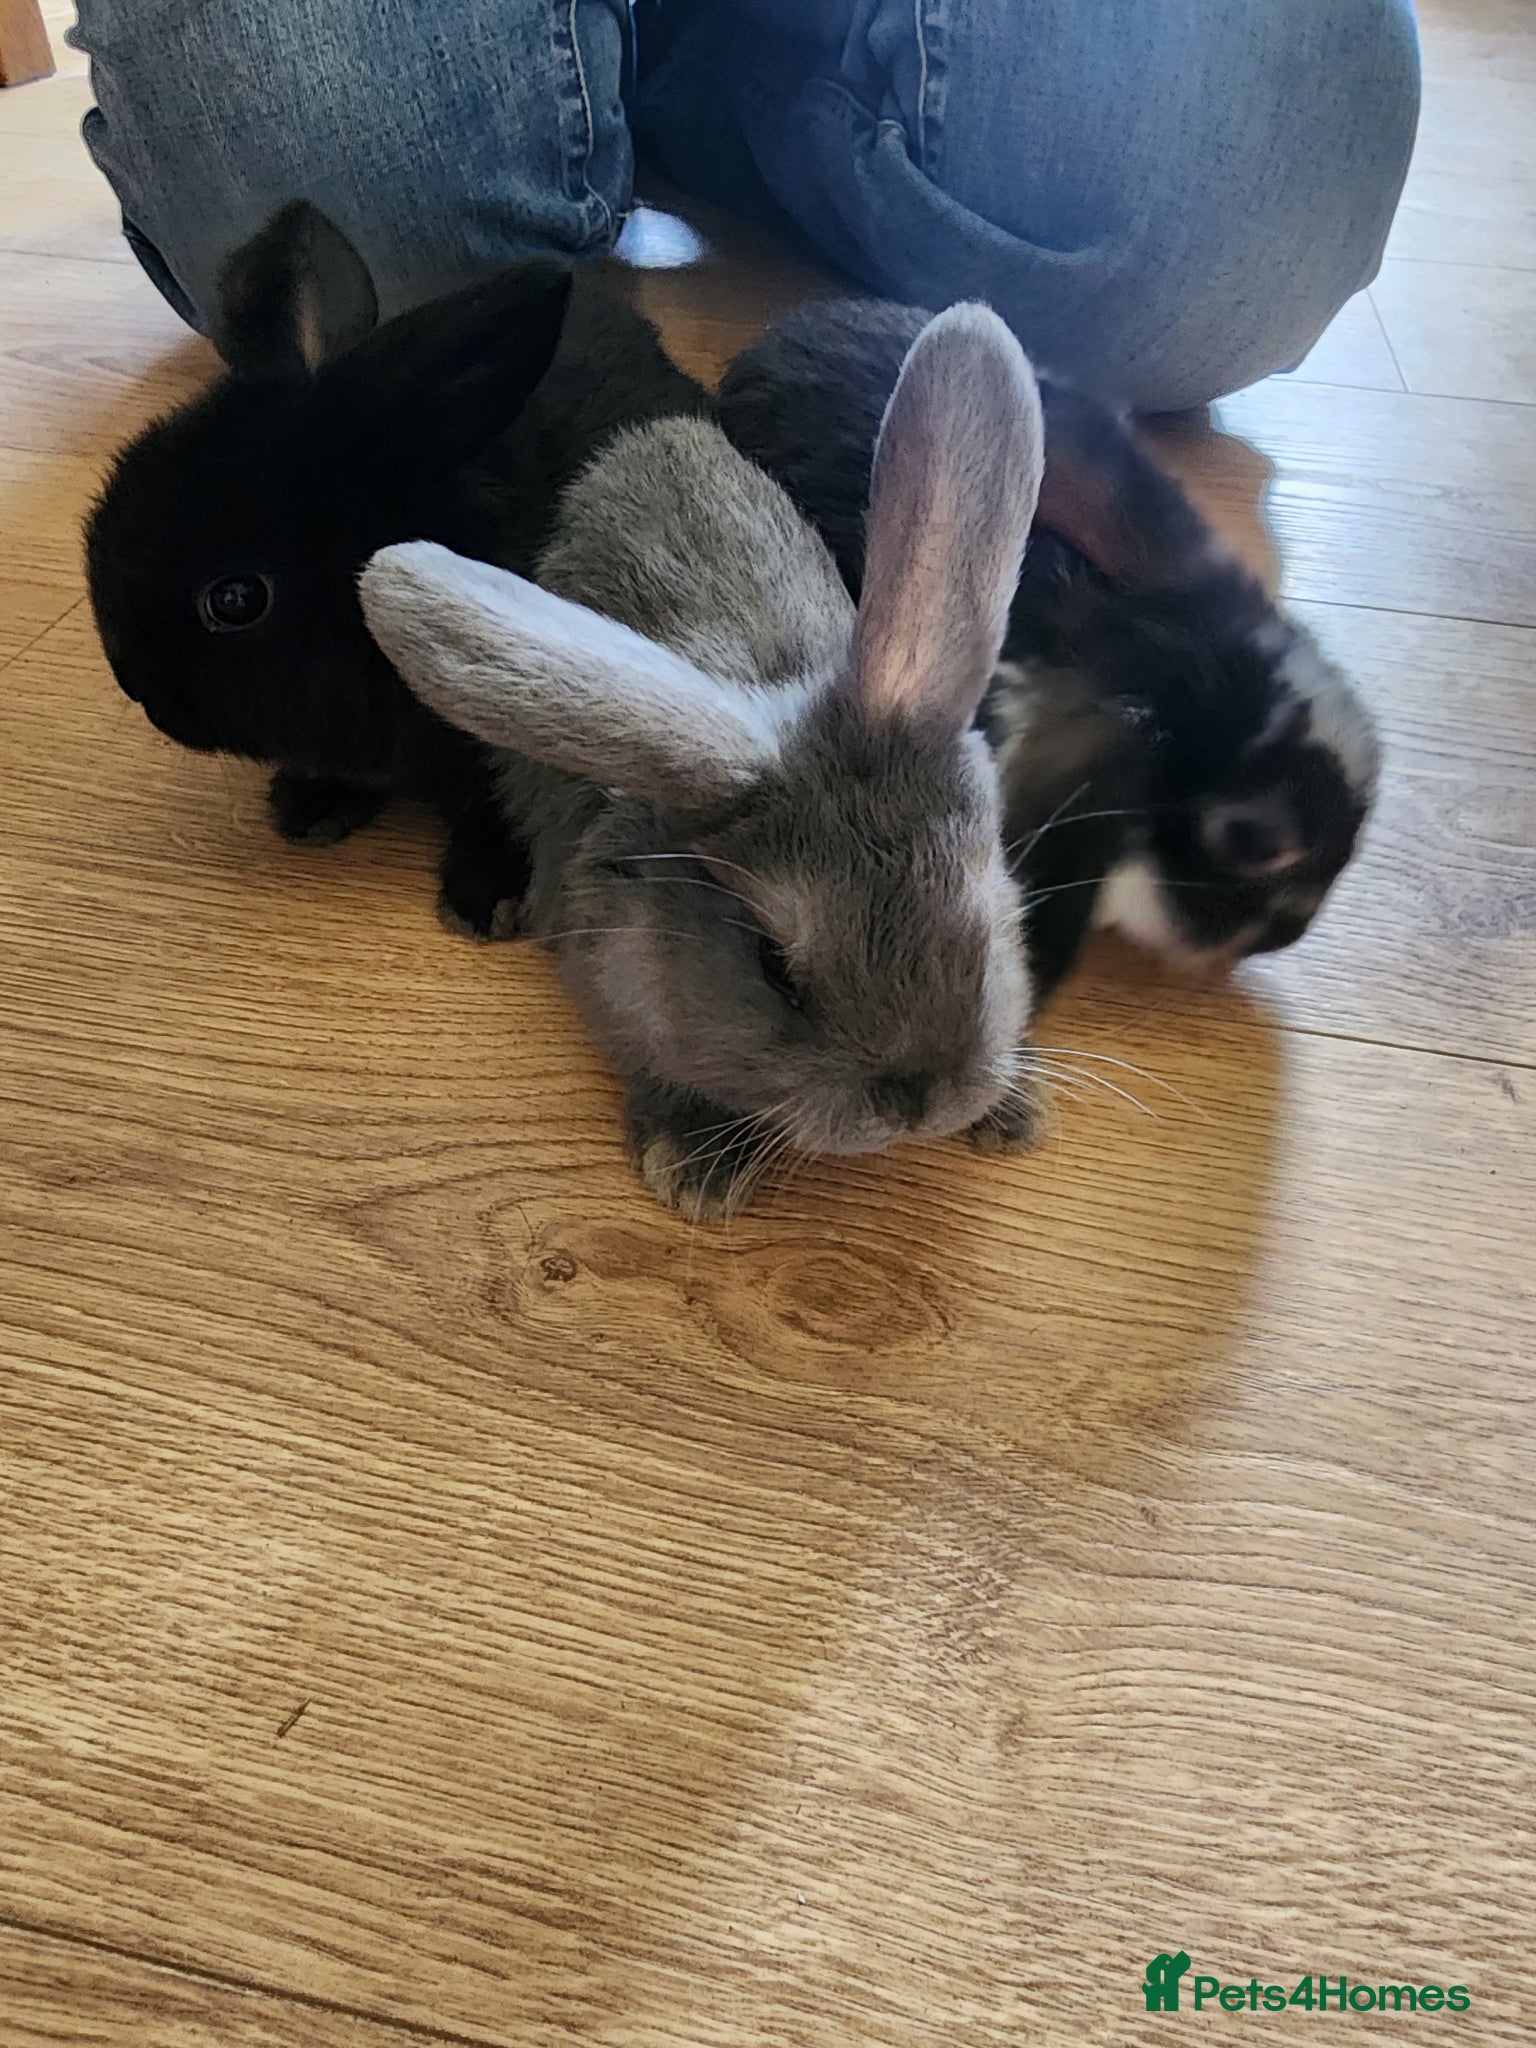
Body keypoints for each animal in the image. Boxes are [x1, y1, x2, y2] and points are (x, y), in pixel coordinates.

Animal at [360, 304, 1048, 1219]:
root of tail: (648, 438)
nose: (915, 1100)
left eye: (981, 922)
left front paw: (1015, 1108)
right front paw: (691, 1164)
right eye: (774, 969)